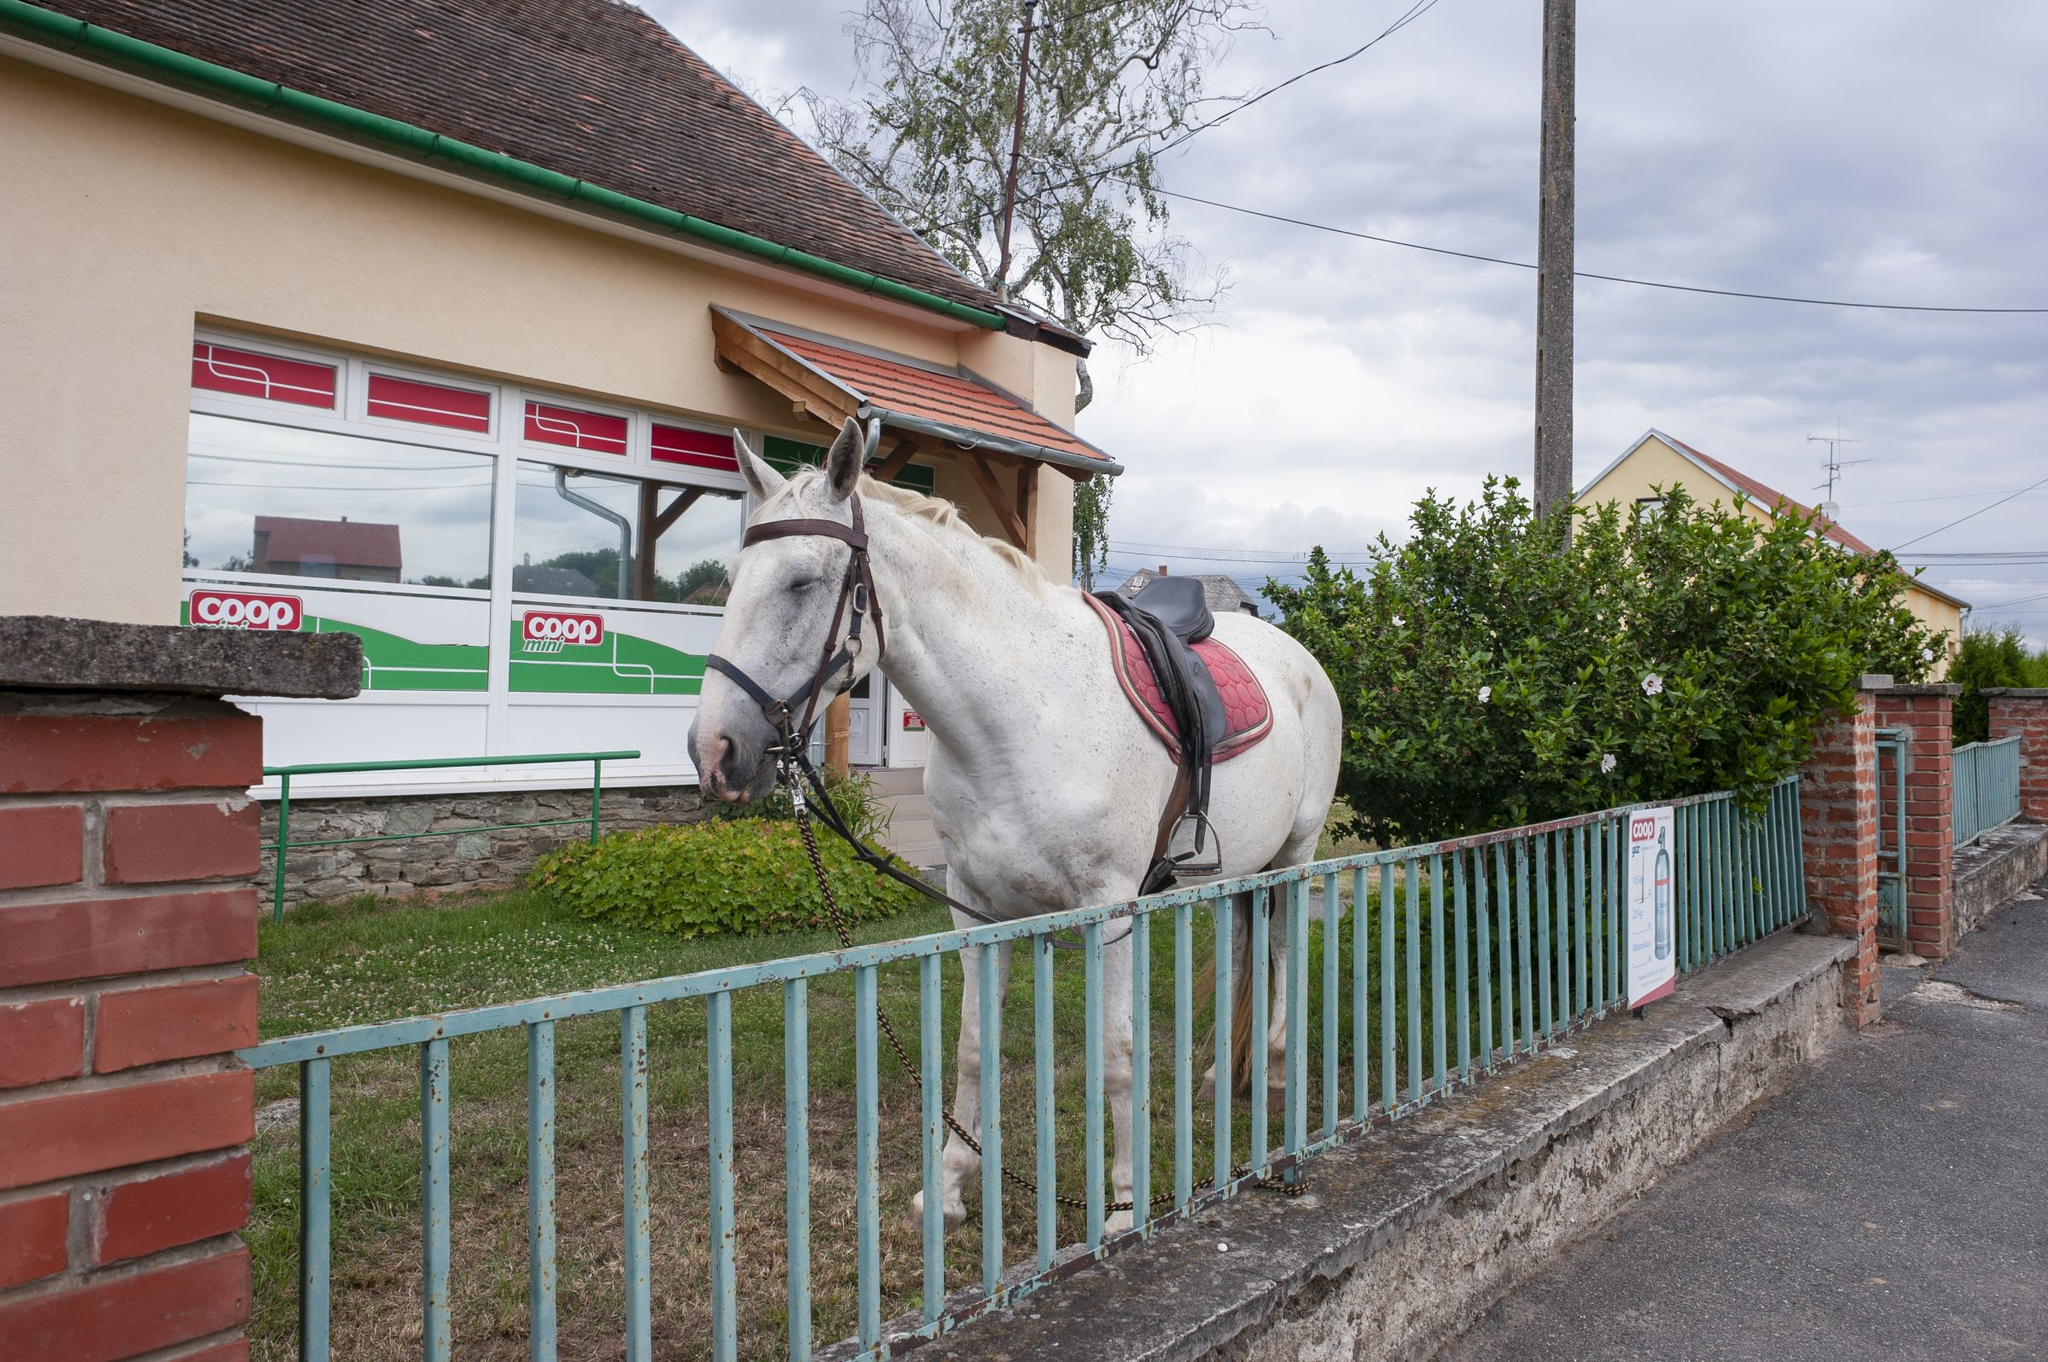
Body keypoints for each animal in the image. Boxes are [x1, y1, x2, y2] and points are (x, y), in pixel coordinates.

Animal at [696, 419, 1343, 1237]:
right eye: (735, 578)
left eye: (801, 583)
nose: (714, 751)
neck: (1022, 716)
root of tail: (1300, 657)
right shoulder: (976, 909)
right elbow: (974, 1047)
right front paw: (949, 1186)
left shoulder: (1111, 912)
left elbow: (1117, 1054)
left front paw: (1123, 1206)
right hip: (1239, 872)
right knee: (1241, 949)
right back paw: (1223, 1073)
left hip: (1296, 851)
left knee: (1285, 948)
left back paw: (1278, 1070)